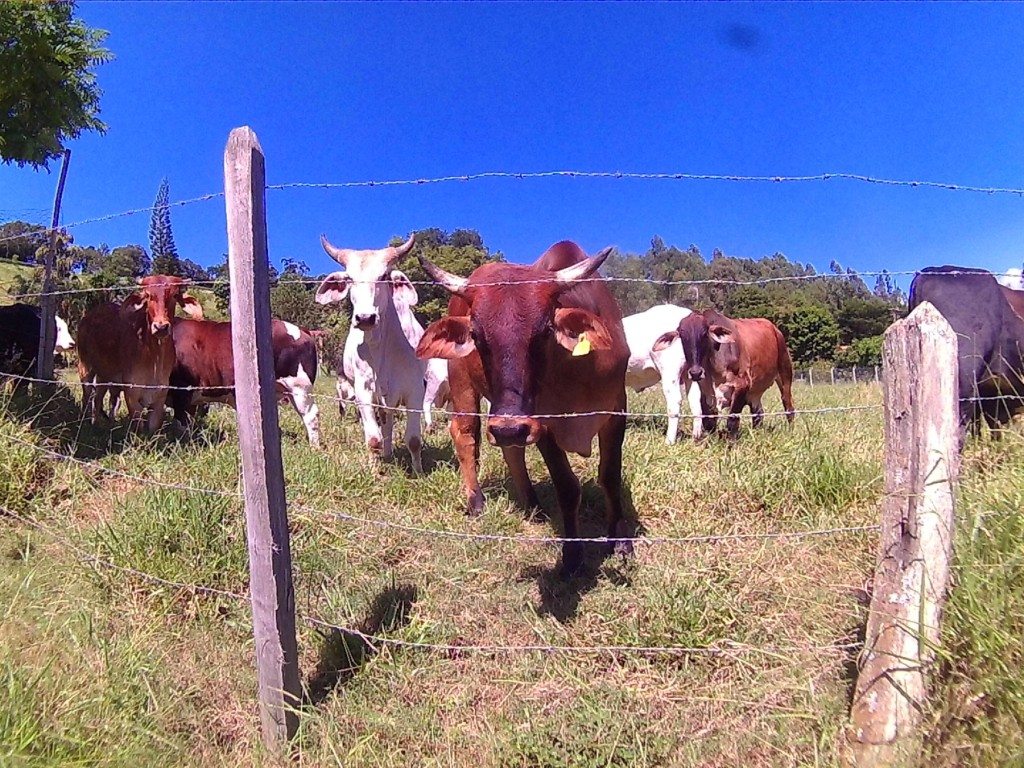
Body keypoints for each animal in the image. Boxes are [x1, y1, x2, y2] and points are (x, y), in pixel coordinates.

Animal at [167, 319, 321, 448]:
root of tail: (301, 330)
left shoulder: (182, 390)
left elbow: (180, 423)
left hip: (299, 388)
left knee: (310, 415)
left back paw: (314, 448)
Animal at [311, 234, 423, 475]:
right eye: (350, 278)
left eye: (383, 276)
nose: (365, 318)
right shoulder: (364, 392)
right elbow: (373, 439)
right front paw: (374, 471)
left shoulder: (415, 391)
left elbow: (413, 440)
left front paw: (418, 472)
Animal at [415, 240, 630, 577]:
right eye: (477, 336)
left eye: (544, 332)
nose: (509, 426)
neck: (577, 368)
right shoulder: (542, 424)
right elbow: (567, 487)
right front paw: (572, 555)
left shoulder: (615, 411)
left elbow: (609, 476)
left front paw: (620, 541)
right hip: (466, 387)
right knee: (465, 434)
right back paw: (476, 502)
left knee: (511, 448)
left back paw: (532, 504)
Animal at [622, 303, 704, 444]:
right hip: (691, 373)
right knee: (695, 400)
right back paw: (696, 437)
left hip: (669, 370)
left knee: (675, 401)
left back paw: (669, 441)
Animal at [655, 309, 798, 438]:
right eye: (682, 337)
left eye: (705, 334)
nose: (695, 372)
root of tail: (775, 329)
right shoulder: (705, 393)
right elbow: (709, 422)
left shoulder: (742, 385)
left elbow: (732, 421)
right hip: (755, 393)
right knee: (758, 413)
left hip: (785, 374)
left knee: (788, 405)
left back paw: (791, 432)